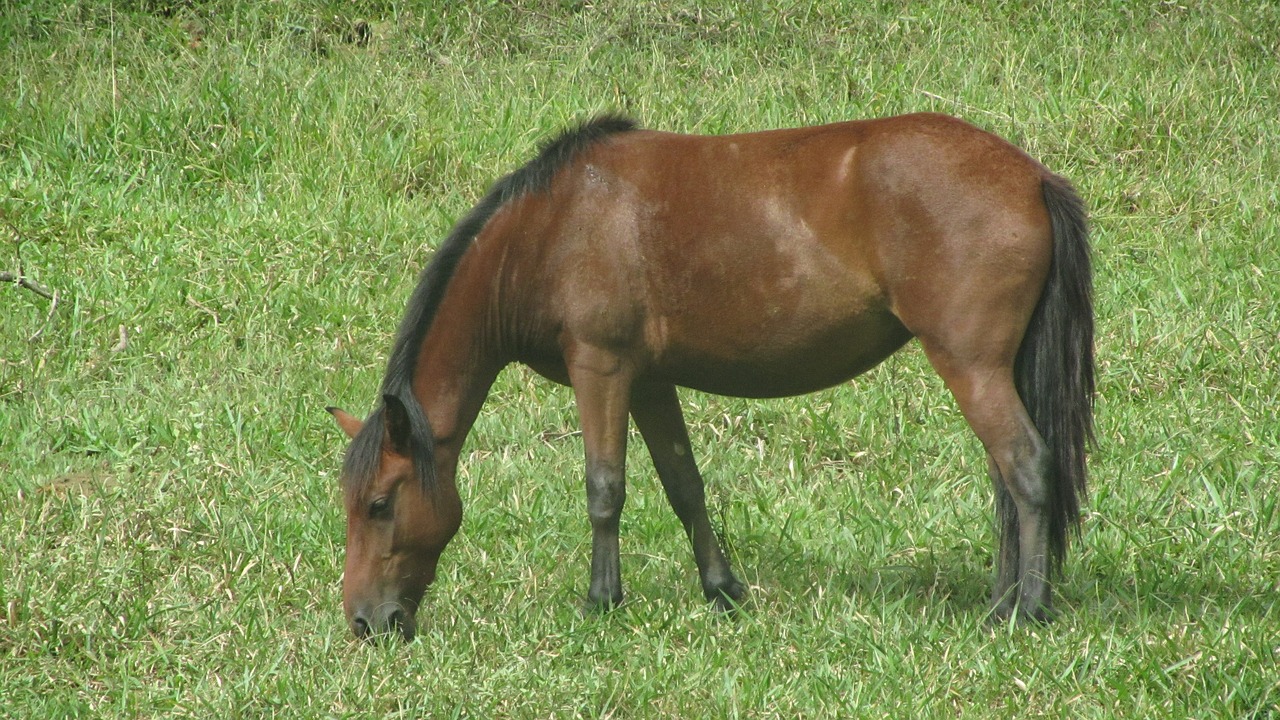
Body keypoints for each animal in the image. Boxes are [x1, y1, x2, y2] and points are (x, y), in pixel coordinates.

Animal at [327, 112, 1090, 638]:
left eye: (380, 504)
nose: (365, 623)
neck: (554, 226)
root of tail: (1031, 176)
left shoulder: (600, 366)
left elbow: (604, 487)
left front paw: (601, 601)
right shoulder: (649, 380)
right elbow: (684, 485)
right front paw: (723, 590)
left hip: (971, 366)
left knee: (1026, 467)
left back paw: (1025, 609)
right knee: (1008, 479)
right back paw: (1005, 598)